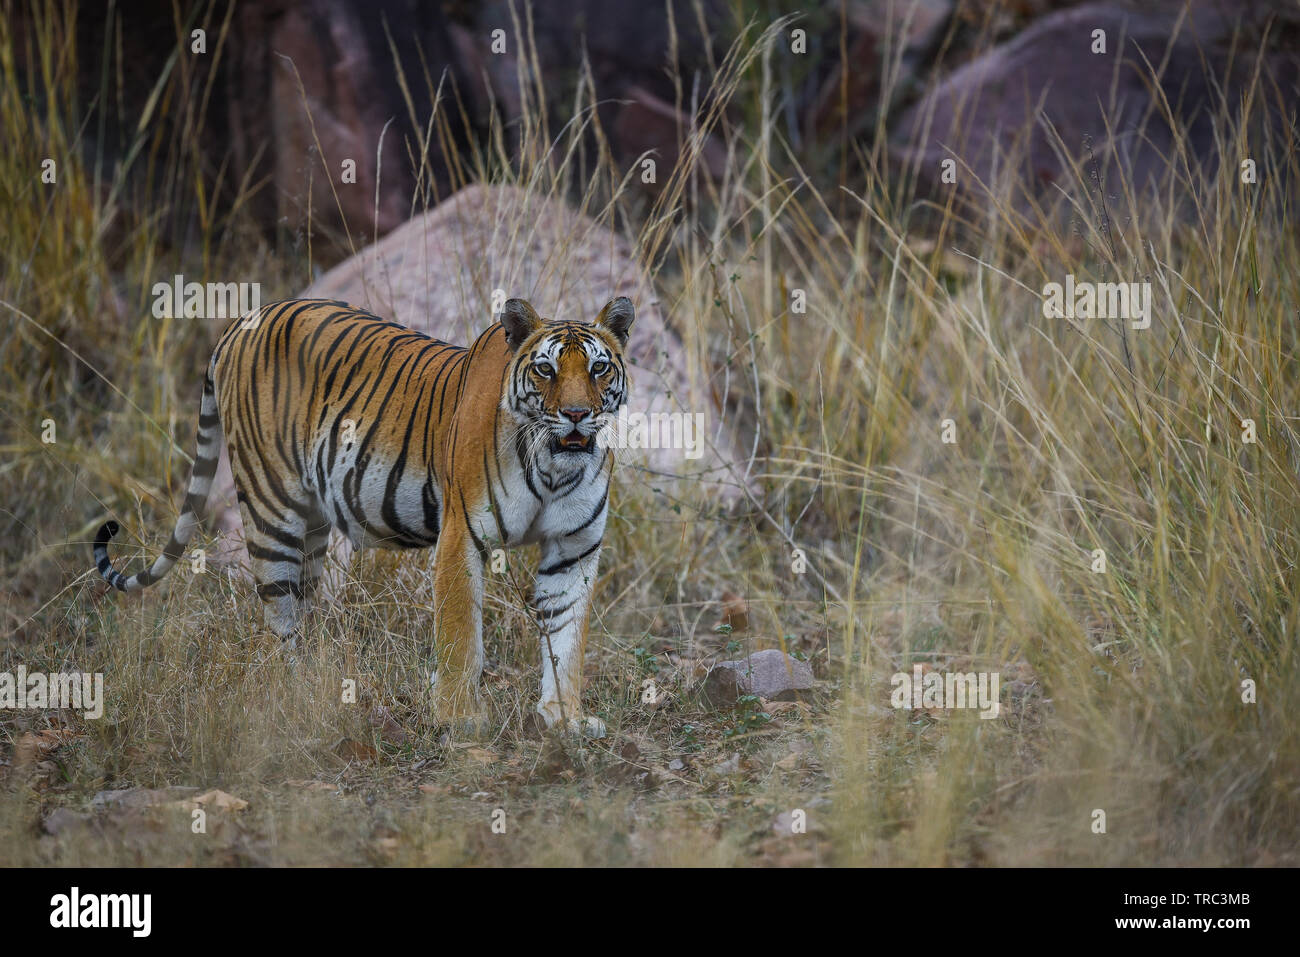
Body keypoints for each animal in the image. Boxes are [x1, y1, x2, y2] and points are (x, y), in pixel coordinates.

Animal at [94, 295, 634, 738]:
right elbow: (461, 635)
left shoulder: (573, 549)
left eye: (598, 369)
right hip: (271, 509)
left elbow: (566, 638)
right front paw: (460, 718)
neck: (553, 470)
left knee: (301, 608)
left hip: (311, 526)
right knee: (279, 621)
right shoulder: (463, 536)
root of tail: (244, 320)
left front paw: (564, 718)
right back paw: (296, 698)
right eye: (545, 370)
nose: (577, 414)